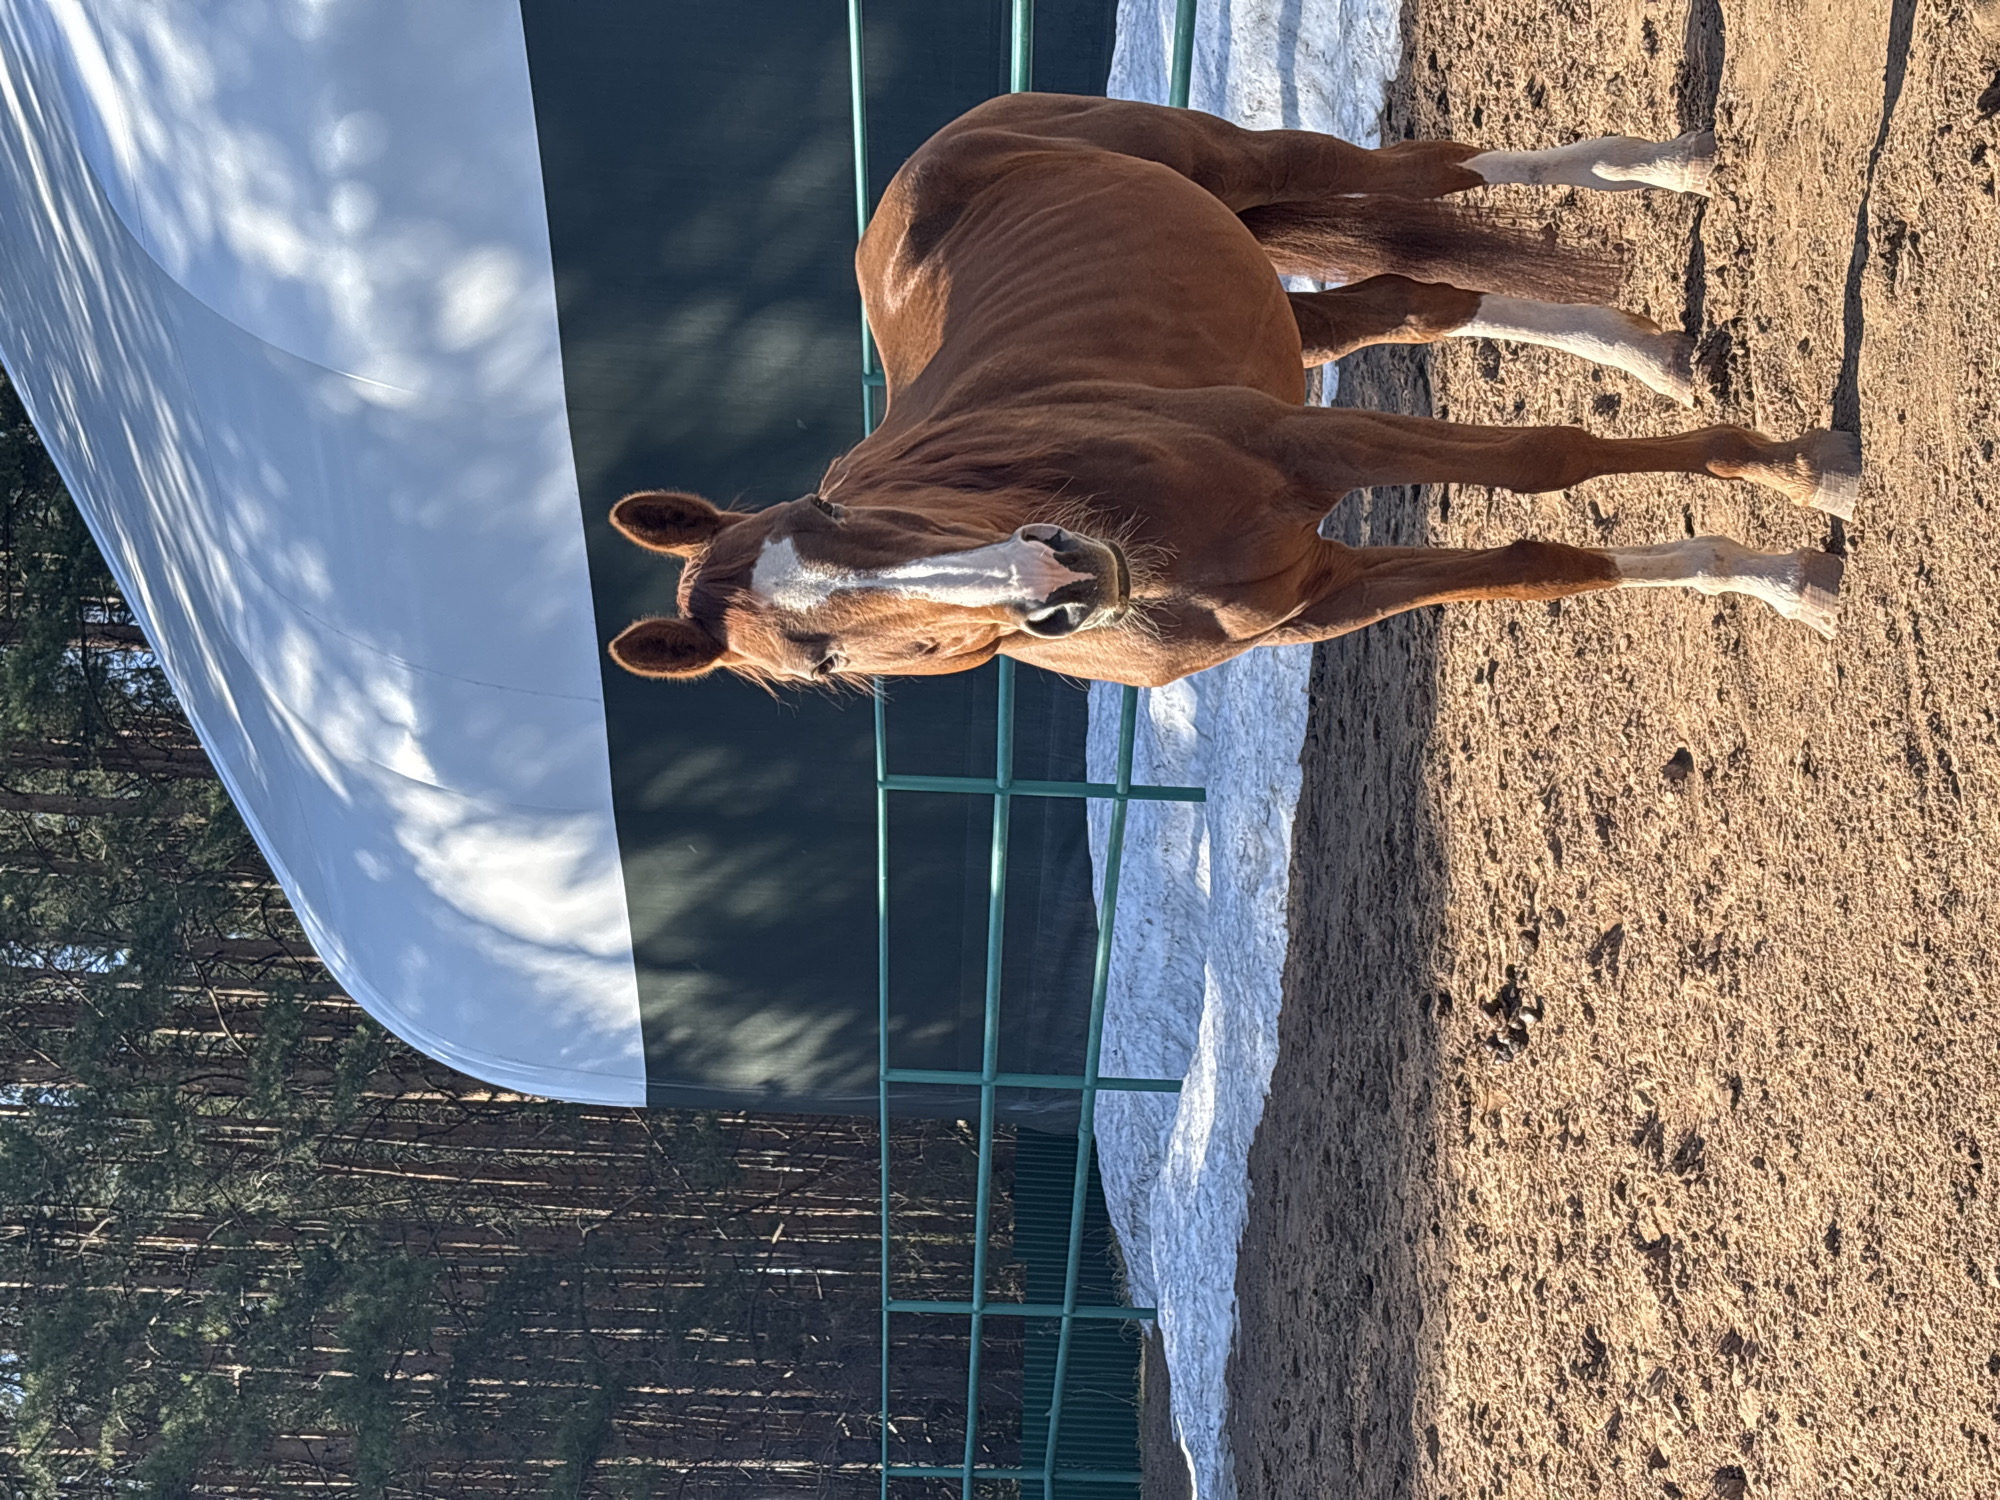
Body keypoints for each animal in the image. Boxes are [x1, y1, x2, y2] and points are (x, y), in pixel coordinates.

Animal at [606, 93, 1858, 690]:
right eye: (820, 664)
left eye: (833, 508)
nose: (1055, 580)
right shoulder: (1333, 591)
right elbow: (1541, 568)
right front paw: (1778, 575)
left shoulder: (1318, 445)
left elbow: (1545, 461)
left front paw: (1805, 484)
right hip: (1290, 311)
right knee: (1421, 298)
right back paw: (1650, 352)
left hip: (1248, 164)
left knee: (1431, 173)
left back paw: (1667, 165)